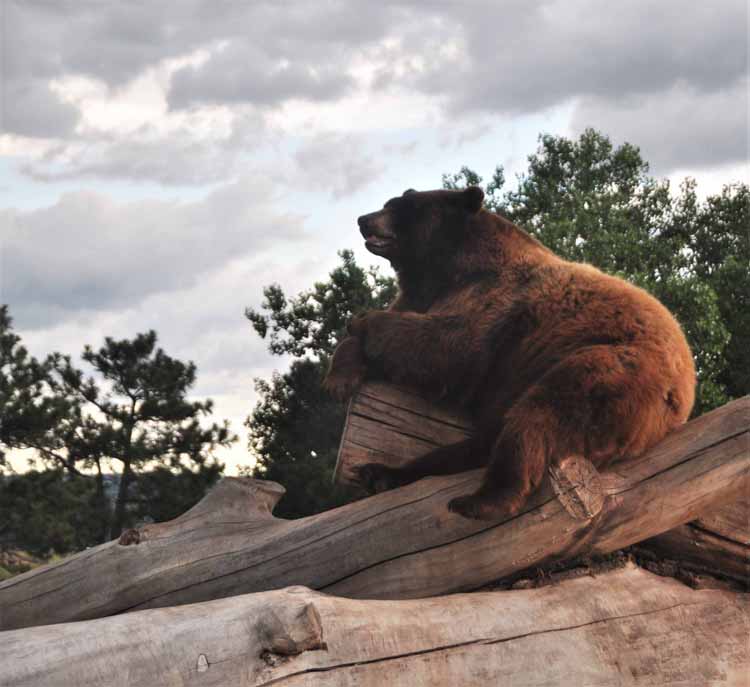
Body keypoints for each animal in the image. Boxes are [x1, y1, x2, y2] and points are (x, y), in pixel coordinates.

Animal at [326, 185, 696, 520]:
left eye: (401, 207)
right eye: (390, 203)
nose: (364, 219)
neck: (447, 267)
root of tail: (681, 397)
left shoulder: (492, 302)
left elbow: (446, 347)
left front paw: (360, 322)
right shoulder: (425, 294)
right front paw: (341, 378)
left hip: (607, 367)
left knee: (538, 416)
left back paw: (480, 501)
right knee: (483, 442)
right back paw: (380, 473)